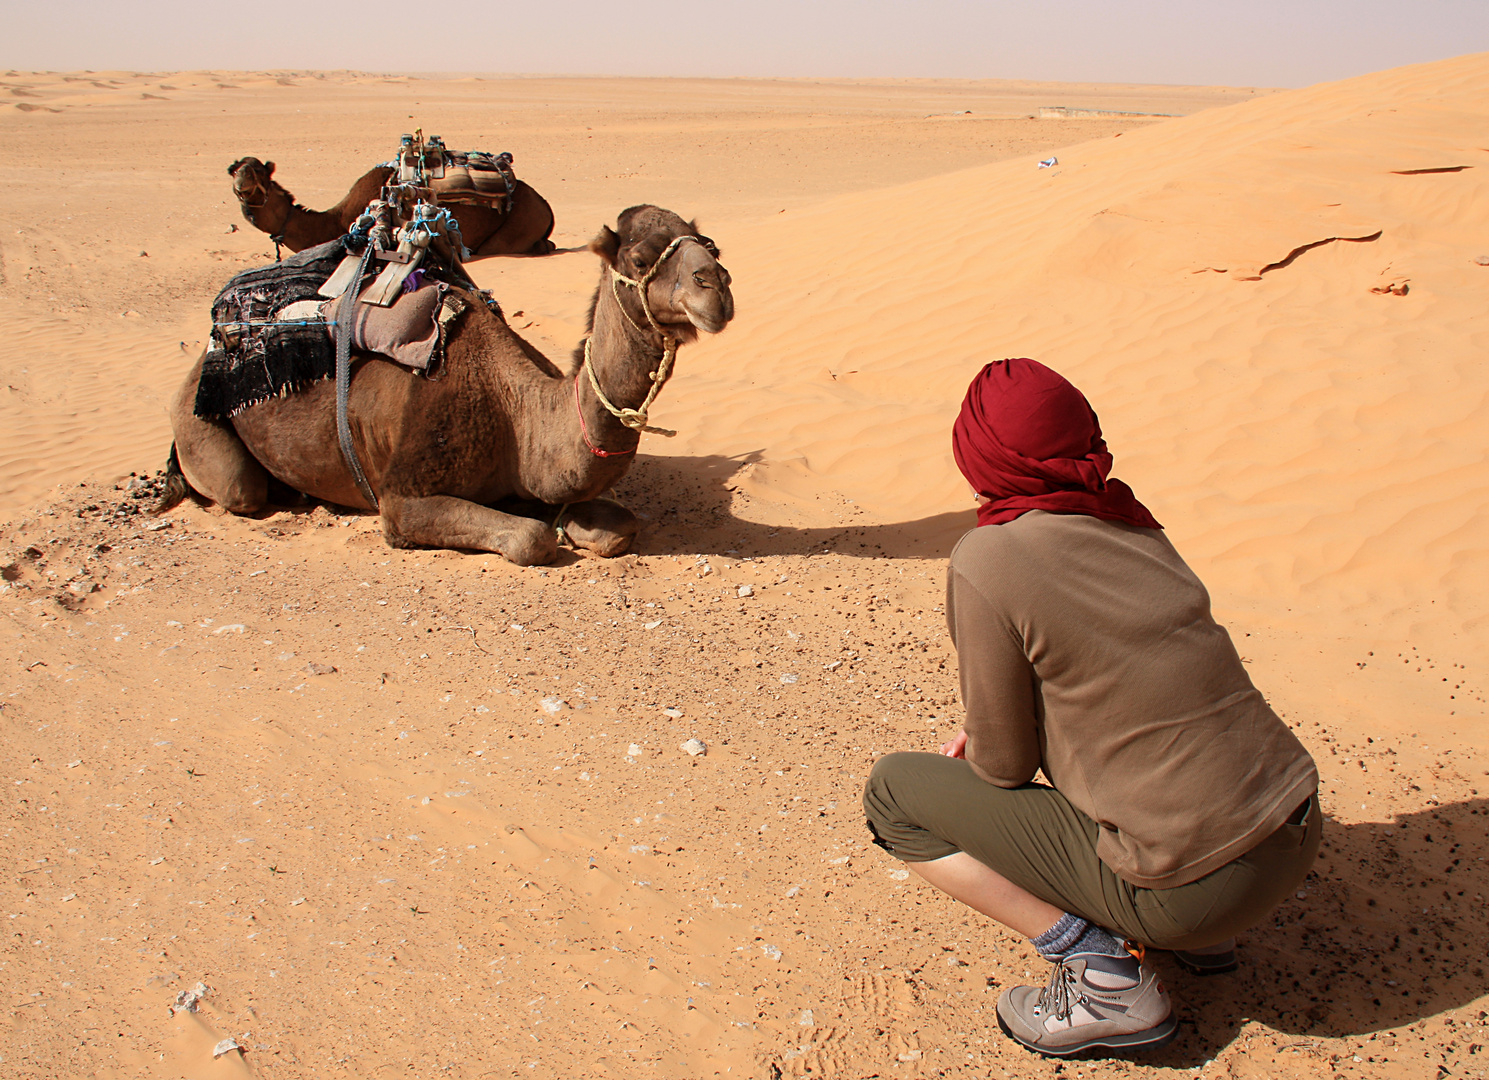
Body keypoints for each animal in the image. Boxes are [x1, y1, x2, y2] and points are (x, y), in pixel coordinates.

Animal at [160, 205, 735, 569]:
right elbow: (530, 540)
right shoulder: (402, 500)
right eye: (639, 260)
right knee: (240, 488)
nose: (717, 286)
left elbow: (617, 530)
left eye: (709, 246)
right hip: (201, 424)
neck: (518, 414)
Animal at [229, 155, 556, 259]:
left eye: (259, 172)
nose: (241, 182)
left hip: (518, 223)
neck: (334, 220)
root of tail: (546, 205)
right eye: (234, 170)